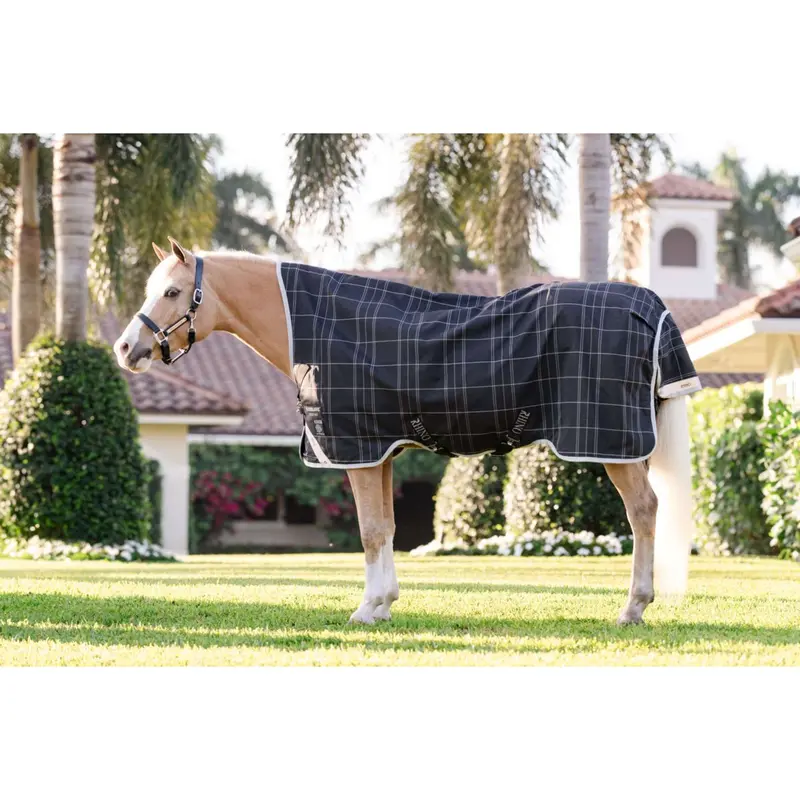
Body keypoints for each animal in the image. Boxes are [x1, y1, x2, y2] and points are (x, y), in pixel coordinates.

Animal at [114, 237, 698, 626]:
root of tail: (650, 307)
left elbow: (370, 531)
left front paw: (367, 609)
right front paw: (384, 604)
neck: (317, 327)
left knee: (643, 510)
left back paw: (632, 608)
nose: (125, 349)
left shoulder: (355, 450)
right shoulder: (383, 452)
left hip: (614, 444)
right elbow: (388, 528)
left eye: (172, 291)